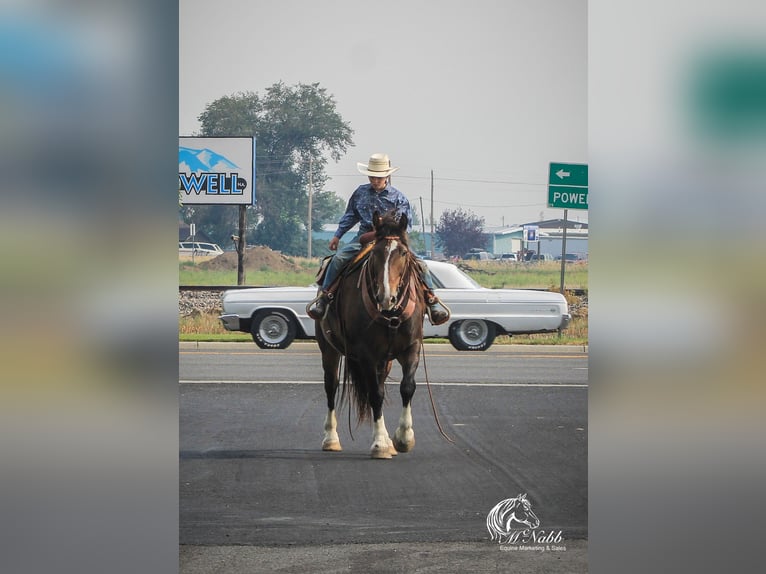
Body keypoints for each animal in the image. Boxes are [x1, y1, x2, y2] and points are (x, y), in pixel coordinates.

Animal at [316, 209, 426, 462]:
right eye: (376, 253)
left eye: (403, 253)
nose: (386, 297)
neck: (390, 313)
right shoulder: (366, 355)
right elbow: (375, 395)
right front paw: (380, 444)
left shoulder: (412, 347)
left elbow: (407, 387)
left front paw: (403, 438)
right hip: (329, 349)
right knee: (331, 386)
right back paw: (331, 439)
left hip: (384, 361)